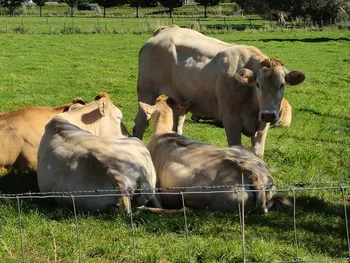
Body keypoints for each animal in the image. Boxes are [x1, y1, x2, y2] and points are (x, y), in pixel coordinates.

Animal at [133, 25, 304, 159]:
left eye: (282, 85)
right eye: (258, 84)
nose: (268, 114)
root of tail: (166, 30)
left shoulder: (262, 124)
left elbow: (258, 154)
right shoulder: (230, 120)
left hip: (178, 99)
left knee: (177, 123)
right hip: (147, 92)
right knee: (139, 123)